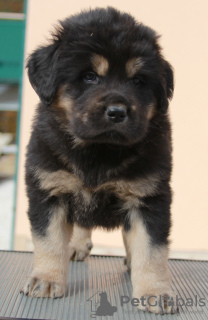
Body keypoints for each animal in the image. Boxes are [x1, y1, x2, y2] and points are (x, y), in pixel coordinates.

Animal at [22, 7, 176, 316]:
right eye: (90, 76)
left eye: (138, 81)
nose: (117, 112)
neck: (99, 151)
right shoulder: (48, 189)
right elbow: (48, 240)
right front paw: (46, 279)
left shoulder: (148, 198)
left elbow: (152, 250)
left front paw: (154, 292)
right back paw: (75, 246)